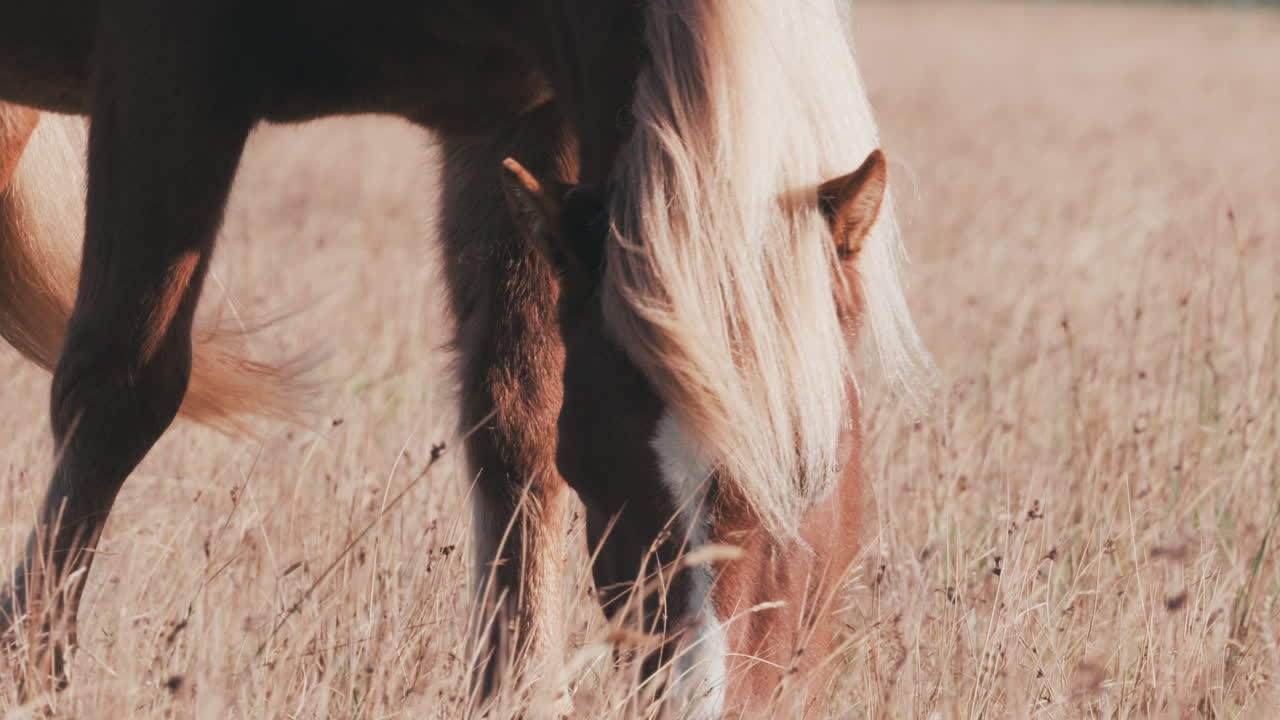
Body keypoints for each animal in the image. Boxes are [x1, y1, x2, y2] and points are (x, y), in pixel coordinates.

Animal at [0, 1, 930, 715]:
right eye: (606, 479)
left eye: (816, 471)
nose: (699, 706)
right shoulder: (171, 68)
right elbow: (120, 389)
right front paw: (32, 674)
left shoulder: (519, 121)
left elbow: (515, 423)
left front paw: (518, 691)